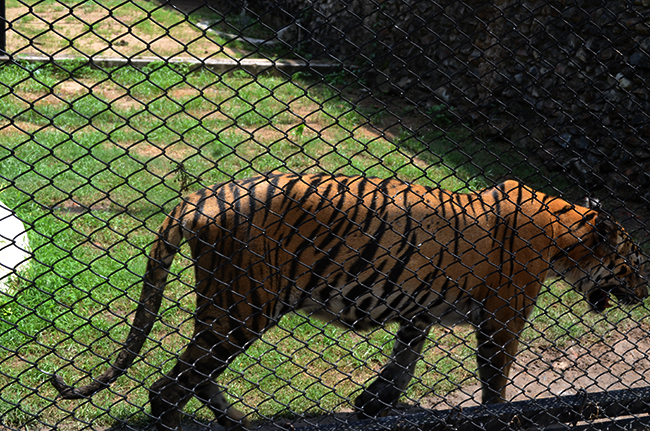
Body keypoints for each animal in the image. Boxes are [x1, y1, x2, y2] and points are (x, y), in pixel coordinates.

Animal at [51, 172, 647, 431]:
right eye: (634, 262)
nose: (645, 293)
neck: (566, 237)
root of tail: (201, 197)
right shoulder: (503, 316)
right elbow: (495, 382)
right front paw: (500, 417)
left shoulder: (419, 304)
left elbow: (403, 360)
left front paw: (373, 404)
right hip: (245, 307)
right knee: (169, 388)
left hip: (229, 311)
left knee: (195, 375)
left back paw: (233, 420)